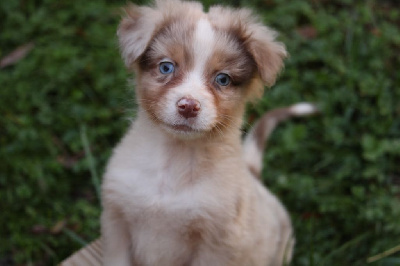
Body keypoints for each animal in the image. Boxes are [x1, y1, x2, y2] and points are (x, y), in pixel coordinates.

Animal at [100, 0, 316, 264]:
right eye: (166, 66)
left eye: (223, 79)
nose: (188, 106)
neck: (175, 160)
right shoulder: (116, 222)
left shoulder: (217, 242)